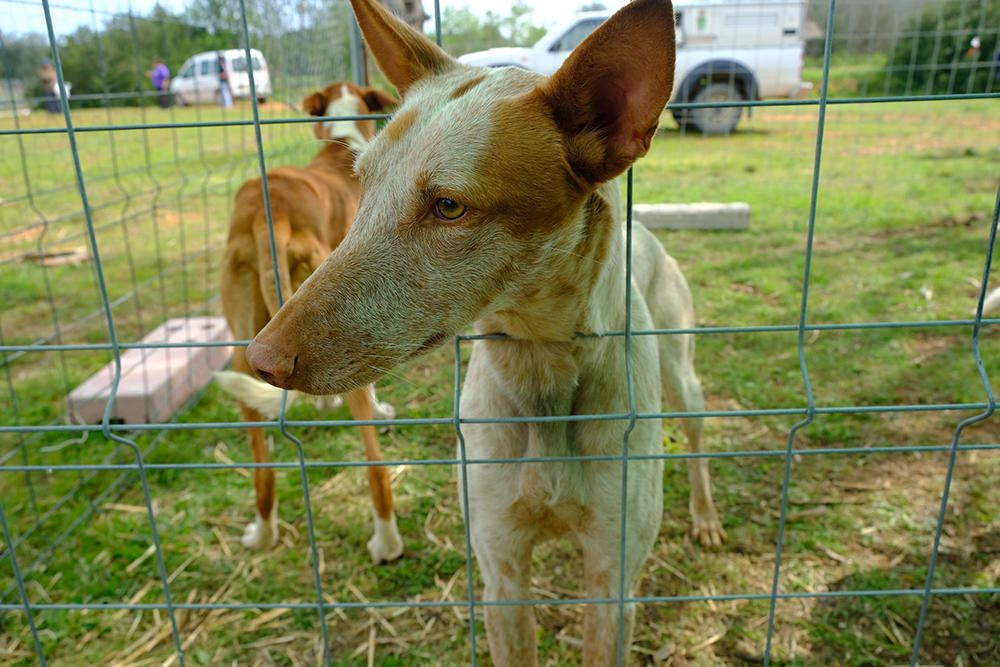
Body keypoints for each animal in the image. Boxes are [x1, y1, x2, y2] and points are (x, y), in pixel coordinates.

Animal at [219, 82, 406, 564]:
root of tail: (266, 211)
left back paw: (263, 531)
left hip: (242, 336)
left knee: (261, 467)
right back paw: (387, 540)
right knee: (375, 464)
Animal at [246, 1, 724, 664]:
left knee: (699, 444)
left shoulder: (612, 583)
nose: (259, 359)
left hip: (683, 380)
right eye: (363, 185)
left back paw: (705, 516)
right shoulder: (502, 575)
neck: (540, 365)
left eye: (449, 207)